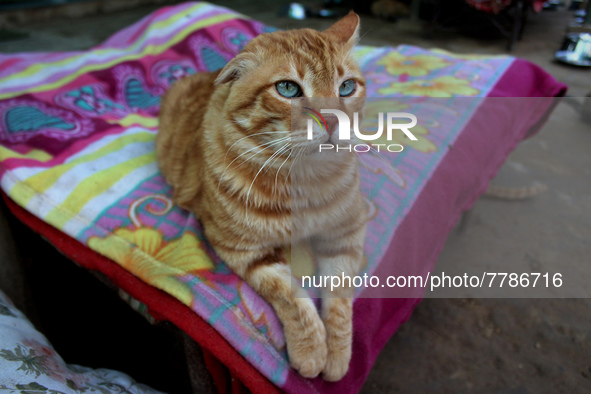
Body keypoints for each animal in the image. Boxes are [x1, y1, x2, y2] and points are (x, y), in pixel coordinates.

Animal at [155, 13, 368, 382]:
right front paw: (311, 350)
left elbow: (340, 301)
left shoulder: (346, 235)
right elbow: (290, 295)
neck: (305, 180)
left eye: (346, 87)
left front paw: (338, 354)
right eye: (287, 88)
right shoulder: (244, 249)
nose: (333, 122)